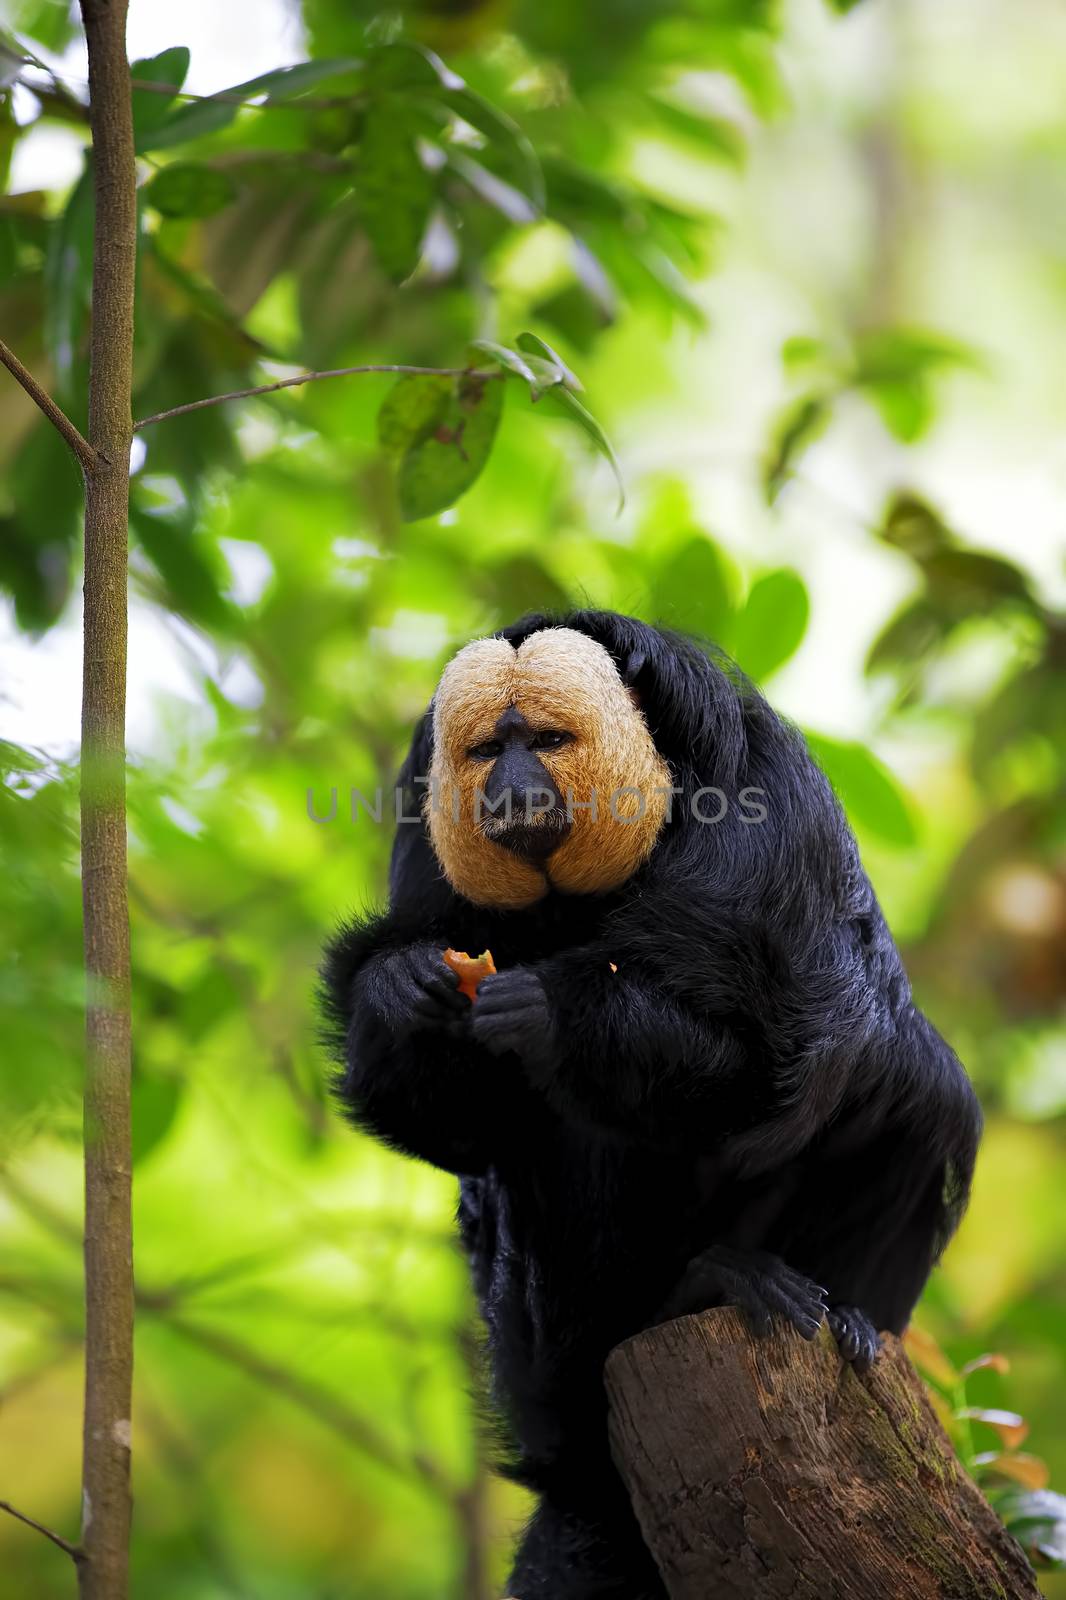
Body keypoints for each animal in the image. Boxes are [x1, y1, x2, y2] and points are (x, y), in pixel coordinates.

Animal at [323, 604, 979, 1593]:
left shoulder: (763, 818)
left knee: (922, 1091)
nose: (509, 790)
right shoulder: (424, 846)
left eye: (546, 742)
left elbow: (778, 1068)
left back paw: (737, 1288)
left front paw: (552, 1010)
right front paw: (400, 989)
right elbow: (462, 1130)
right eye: (488, 750)